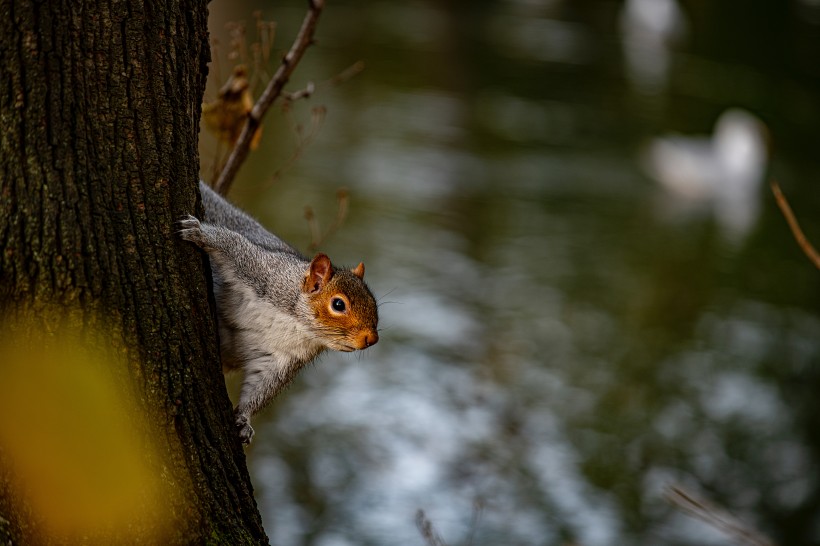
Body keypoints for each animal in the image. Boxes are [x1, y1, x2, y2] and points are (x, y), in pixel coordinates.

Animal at [179, 181, 378, 444]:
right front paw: (199, 232)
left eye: (374, 302)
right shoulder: (261, 270)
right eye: (338, 305)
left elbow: (261, 387)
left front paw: (244, 420)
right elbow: (232, 243)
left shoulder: (283, 359)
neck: (296, 324)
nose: (372, 339)